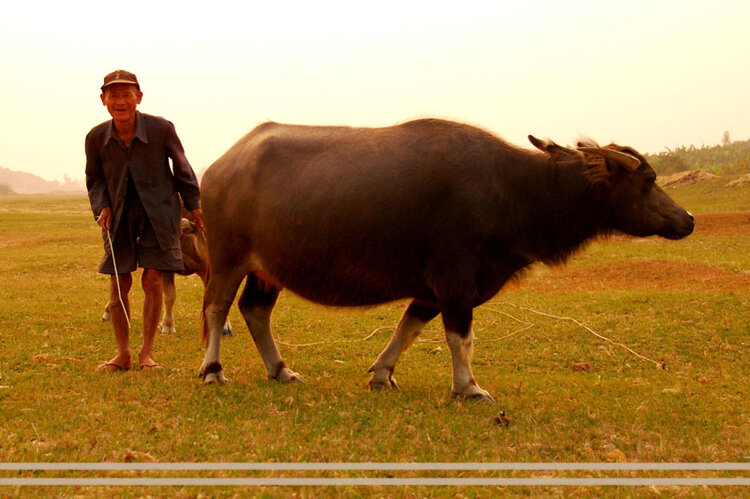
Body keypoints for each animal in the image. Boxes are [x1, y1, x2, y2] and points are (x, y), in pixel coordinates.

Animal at [197, 118, 696, 402]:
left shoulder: (432, 288)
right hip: (226, 258)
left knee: (255, 310)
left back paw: (281, 370)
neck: (515, 188)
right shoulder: (456, 281)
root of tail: (219, 168)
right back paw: (212, 371)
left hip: (267, 270)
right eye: (648, 180)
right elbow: (461, 338)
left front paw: (382, 375)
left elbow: (410, 327)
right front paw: (468, 387)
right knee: (217, 308)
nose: (688, 219)